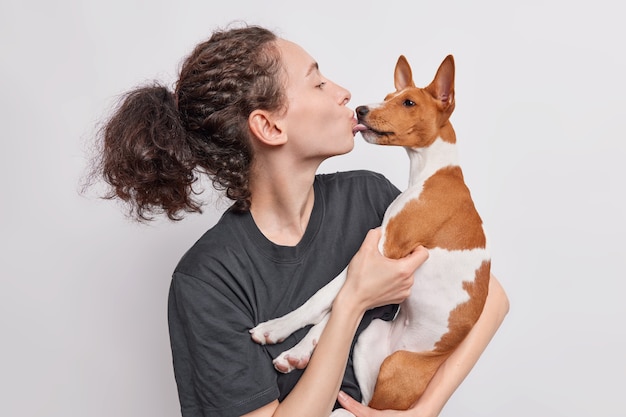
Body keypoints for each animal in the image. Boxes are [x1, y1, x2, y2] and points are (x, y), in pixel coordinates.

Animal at [249, 53, 488, 412]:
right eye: (388, 96)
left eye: (408, 102)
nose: (360, 109)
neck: (430, 173)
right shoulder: (376, 260)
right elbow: (331, 307)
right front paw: (297, 350)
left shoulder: (384, 251)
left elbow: (324, 299)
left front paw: (278, 332)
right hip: (368, 336)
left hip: (395, 366)